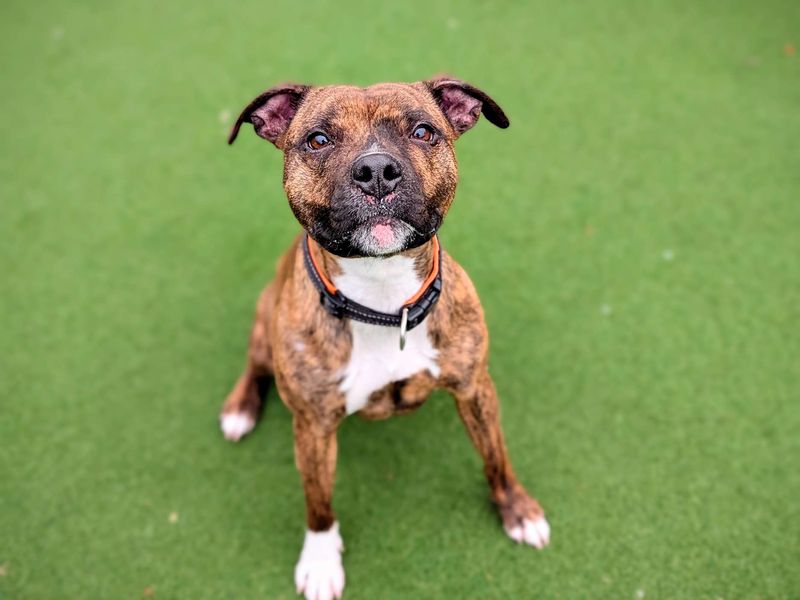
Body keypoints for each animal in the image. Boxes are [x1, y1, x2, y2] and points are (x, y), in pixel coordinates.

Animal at [225, 78, 552, 600]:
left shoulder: (475, 387)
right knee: (254, 366)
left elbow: (496, 455)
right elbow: (318, 500)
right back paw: (239, 409)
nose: (376, 170)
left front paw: (517, 510)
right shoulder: (313, 427)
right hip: (263, 319)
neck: (382, 300)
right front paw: (320, 560)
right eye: (318, 139)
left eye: (423, 131)